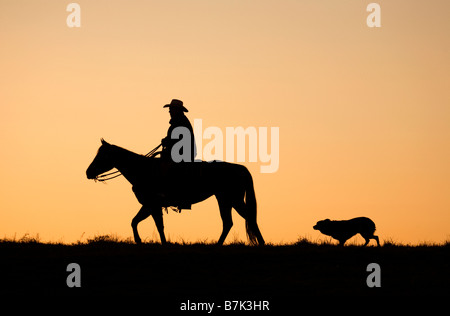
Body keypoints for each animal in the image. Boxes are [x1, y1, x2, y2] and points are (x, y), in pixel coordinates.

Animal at [86, 139, 266, 246]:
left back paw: (261, 243)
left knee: (247, 217)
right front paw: (143, 241)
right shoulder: (149, 205)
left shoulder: (152, 204)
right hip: (224, 200)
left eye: (101, 155)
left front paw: (154, 242)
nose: (88, 172)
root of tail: (240, 168)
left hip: (233, 199)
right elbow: (137, 221)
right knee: (228, 222)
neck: (142, 169)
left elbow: (156, 225)